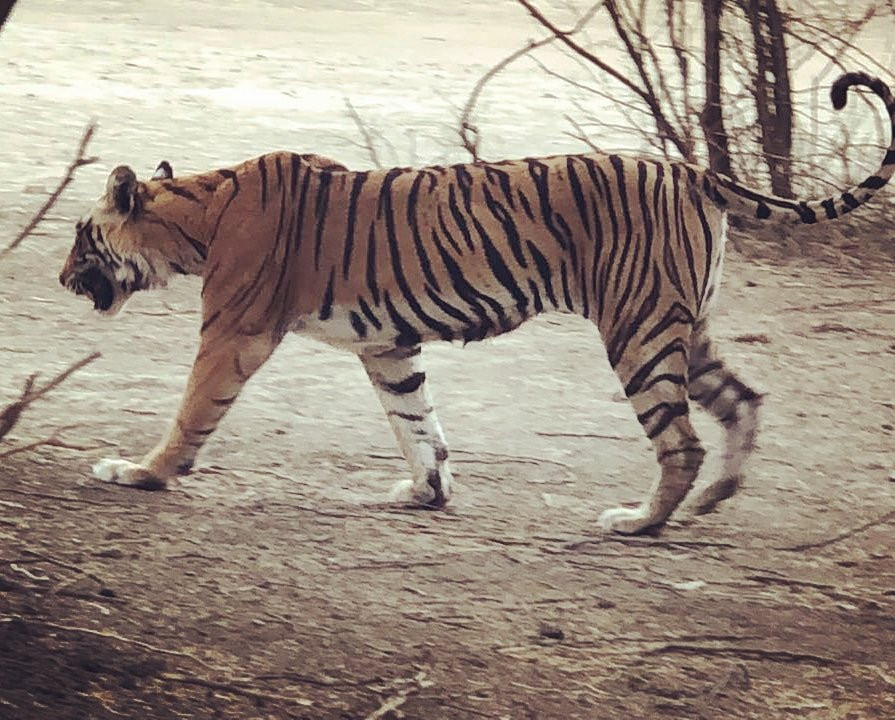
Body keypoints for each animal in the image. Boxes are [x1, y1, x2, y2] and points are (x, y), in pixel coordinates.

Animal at [59, 71, 892, 536]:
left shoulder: (233, 332)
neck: (195, 219)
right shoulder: (386, 346)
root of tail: (688, 167)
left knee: (679, 440)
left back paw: (639, 522)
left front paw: (140, 472)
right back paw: (715, 498)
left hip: (638, 329)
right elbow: (416, 423)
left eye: (80, 236)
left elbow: (189, 412)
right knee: (743, 400)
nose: (63, 277)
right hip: (682, 327)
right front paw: (424, 492)